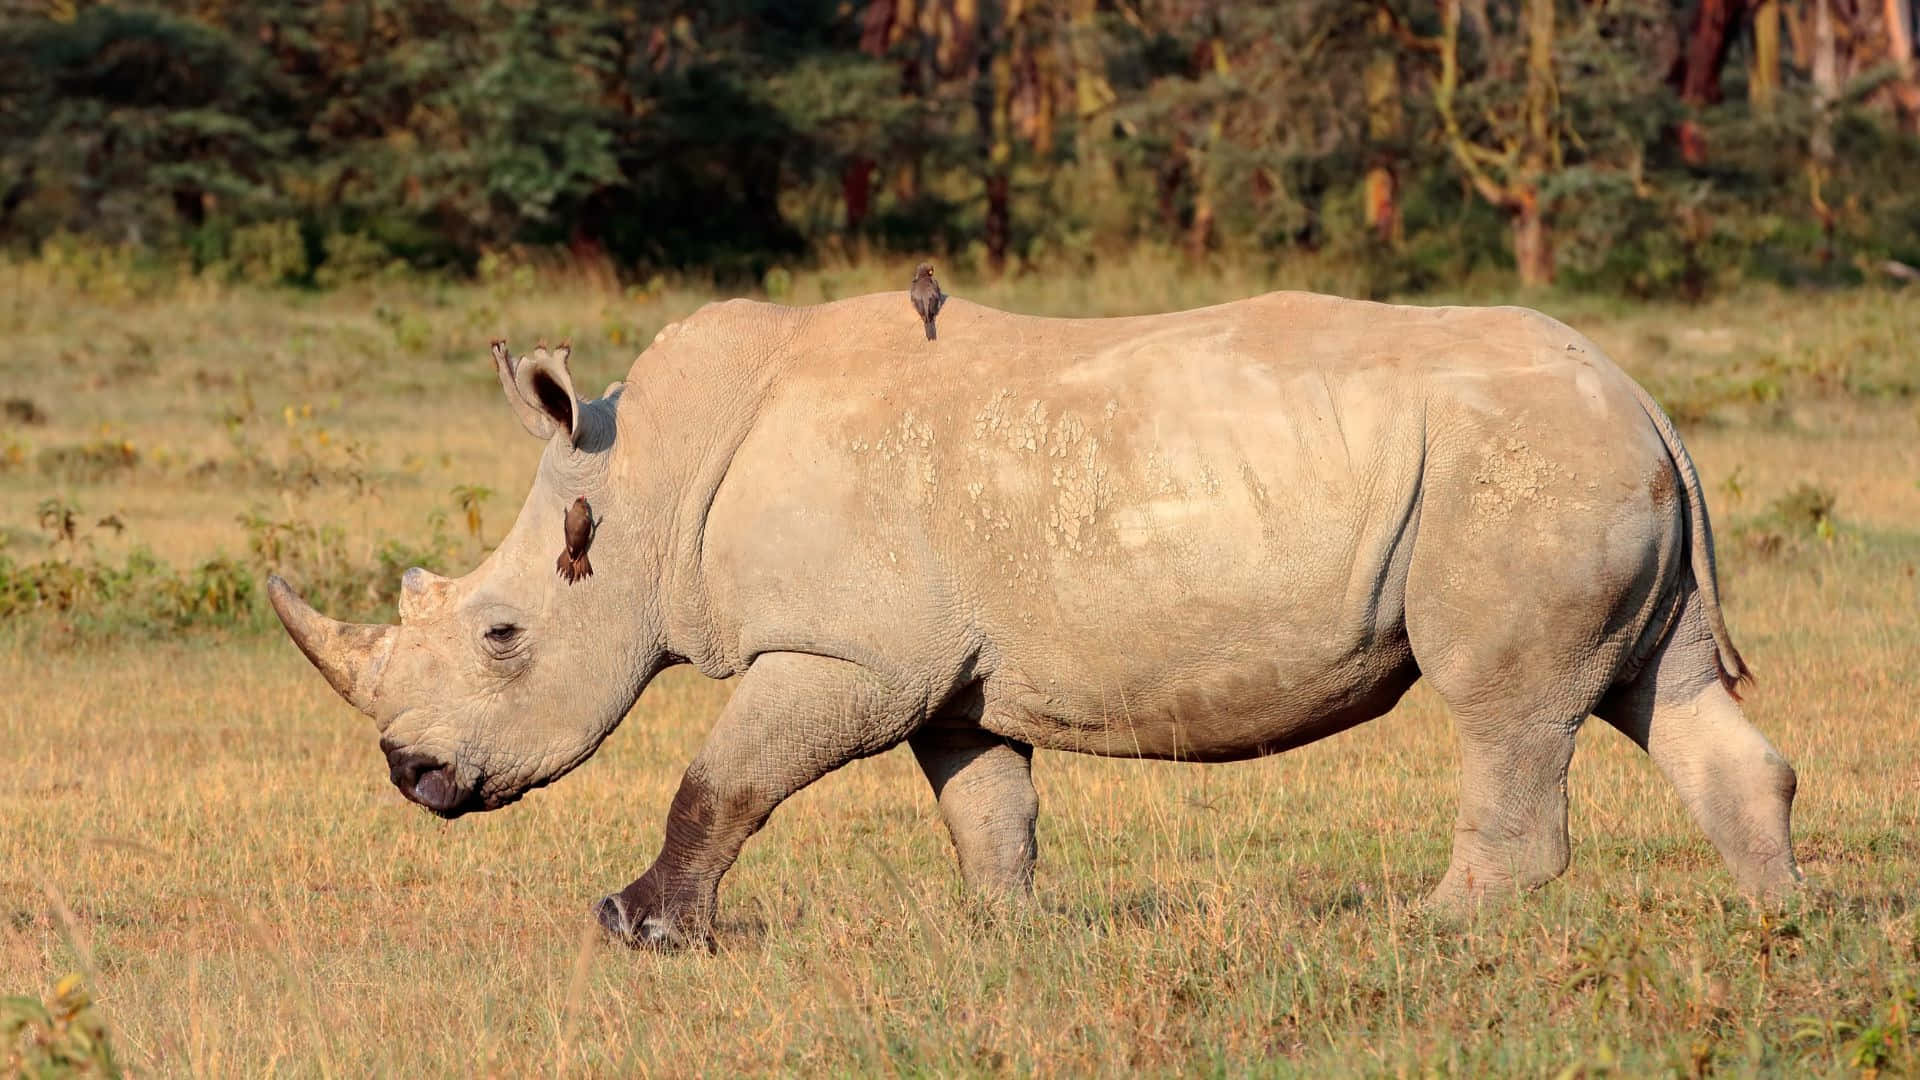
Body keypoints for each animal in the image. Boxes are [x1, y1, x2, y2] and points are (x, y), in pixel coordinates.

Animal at [269, 291, 1800, 949]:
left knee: (1504, 709)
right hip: (1583, 467)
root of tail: (1643, 398)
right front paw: (1005, 934)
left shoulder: (849, 653)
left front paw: (641, 931)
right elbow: (984, 806)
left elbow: (724, 780)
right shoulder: (943, 671)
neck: (646, 480)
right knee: (1660, 694)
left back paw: (1433, 936)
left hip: (1520, 472)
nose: (412, 776)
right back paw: (1782, 925)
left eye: (500, 636)